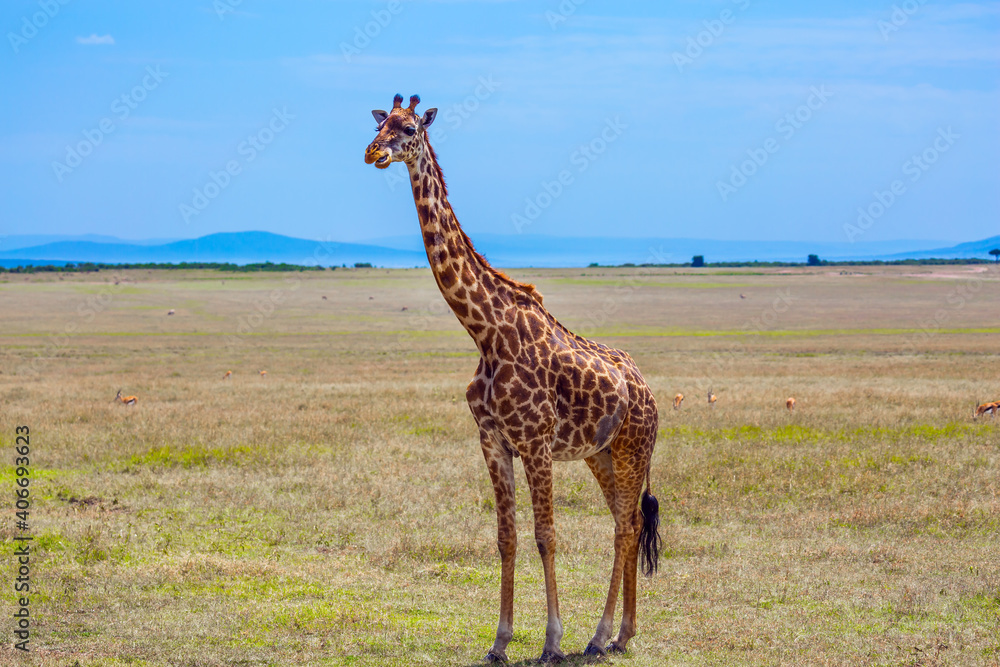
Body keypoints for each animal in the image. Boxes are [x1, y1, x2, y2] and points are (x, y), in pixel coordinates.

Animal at [365, 94, 662, 663]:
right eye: (379, 123)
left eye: (408, 129)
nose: (373, 153)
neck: (485, 331)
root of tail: (648, 390)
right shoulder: (493, 440)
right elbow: (506, 538)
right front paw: (499, 641)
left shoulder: (536, 442)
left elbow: (546, 534)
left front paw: (551, 641)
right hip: (600, 453)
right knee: (624, 520)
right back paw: (611, 634)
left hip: (634, 446)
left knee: (629, 524)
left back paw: (608, 634)